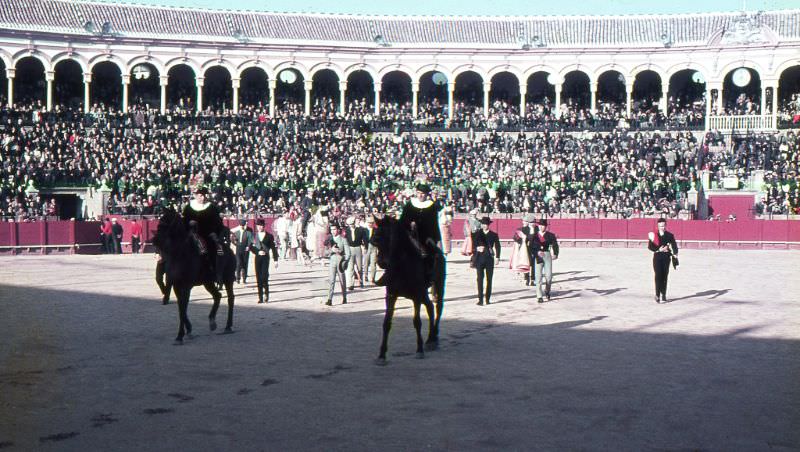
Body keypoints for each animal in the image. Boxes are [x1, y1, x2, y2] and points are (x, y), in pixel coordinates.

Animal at [152, 210, 236, 344]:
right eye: (160, 222)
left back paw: (228, 326)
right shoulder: (176, 286)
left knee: (230, 298)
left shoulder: (186, 287)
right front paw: (188, 330)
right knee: (217, 295)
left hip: (228, 280)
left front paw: (180, 336)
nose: (154, 240)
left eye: (166, 223)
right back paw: (212, 321)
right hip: (208, 282)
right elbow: (181, 308)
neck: (180, 254)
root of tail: (230, 251)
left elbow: (182, 308)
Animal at [372, 215, 446, 364]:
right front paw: (382, 355)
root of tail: (438, 251)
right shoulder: (391, 295)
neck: (402, 265)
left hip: (438, 285)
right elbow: (386, 323)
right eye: (375, 240)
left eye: (387, 236)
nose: (381, 263)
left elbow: (417, 321)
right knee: (430, 307)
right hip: (423, 293)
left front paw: (419, 350)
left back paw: (434, 337)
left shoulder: (416, 296)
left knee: (438, 307)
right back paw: (430, 339)